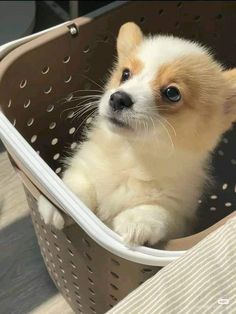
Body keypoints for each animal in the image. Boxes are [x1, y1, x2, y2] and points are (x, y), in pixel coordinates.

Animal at [38, 22, 236, 248]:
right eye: (125, 74)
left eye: (172, 93)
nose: (118, 98)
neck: (131, 154)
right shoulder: (85, 166)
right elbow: (77, 185)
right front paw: (56, 200)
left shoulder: (179, 214)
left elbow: (157, 211)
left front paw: (134, 222)